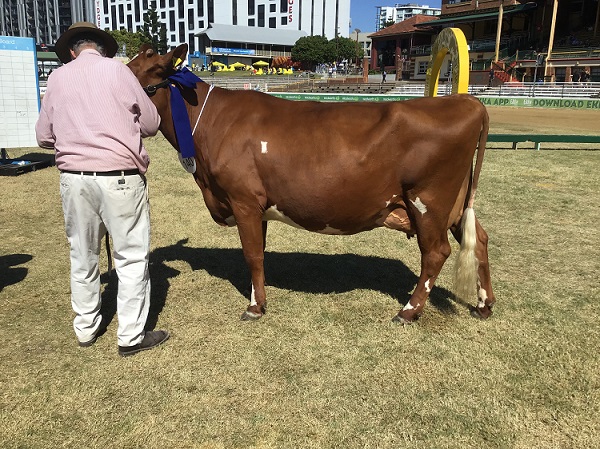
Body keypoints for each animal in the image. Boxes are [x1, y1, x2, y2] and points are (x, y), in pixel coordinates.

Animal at [124, 43, 494, 324]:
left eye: (136, 76)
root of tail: (466, 101)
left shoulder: (243, 200)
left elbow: (252, 255)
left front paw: (255, 307)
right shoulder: (258, 205)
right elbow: (260, 254)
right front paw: (259, 298)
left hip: (428, 200)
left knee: (436, 253)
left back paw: (408, 311)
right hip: (455, 204)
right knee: (479, 240)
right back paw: (484, 304)